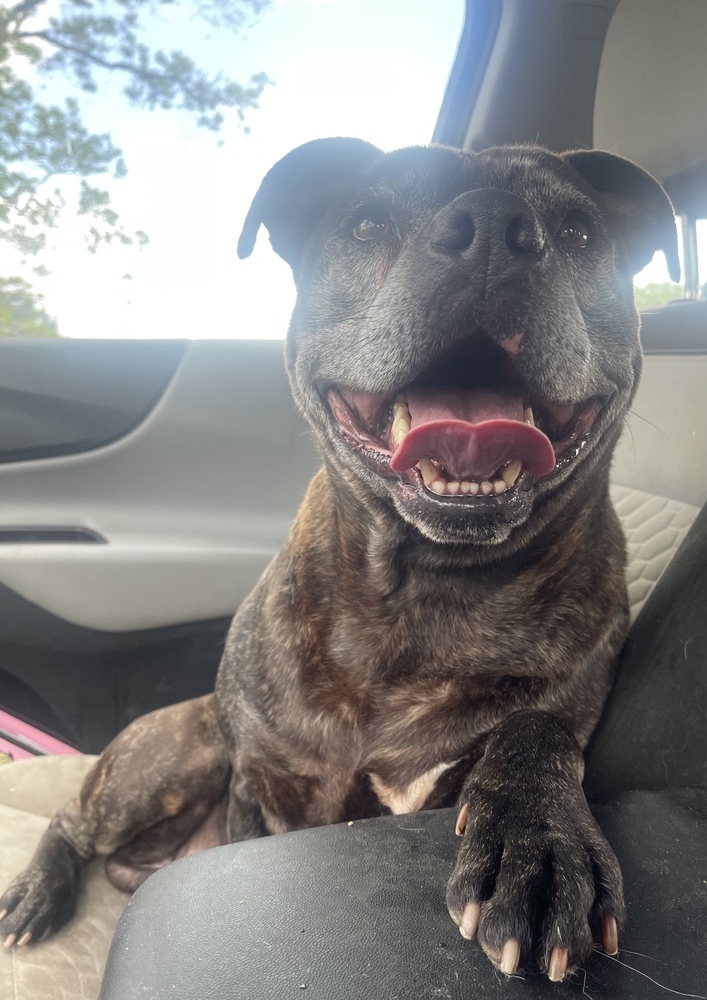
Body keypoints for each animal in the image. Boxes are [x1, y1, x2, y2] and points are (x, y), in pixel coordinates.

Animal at [0, 137, 680, 980]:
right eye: (366, 224)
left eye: (580, 232)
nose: (493, 228)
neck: (428, 593)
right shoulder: (264, 785)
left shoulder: (542, 720)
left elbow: (536, 730)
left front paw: (540, 848)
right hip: (174, 753)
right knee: (70, 817)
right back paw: (37, 893)